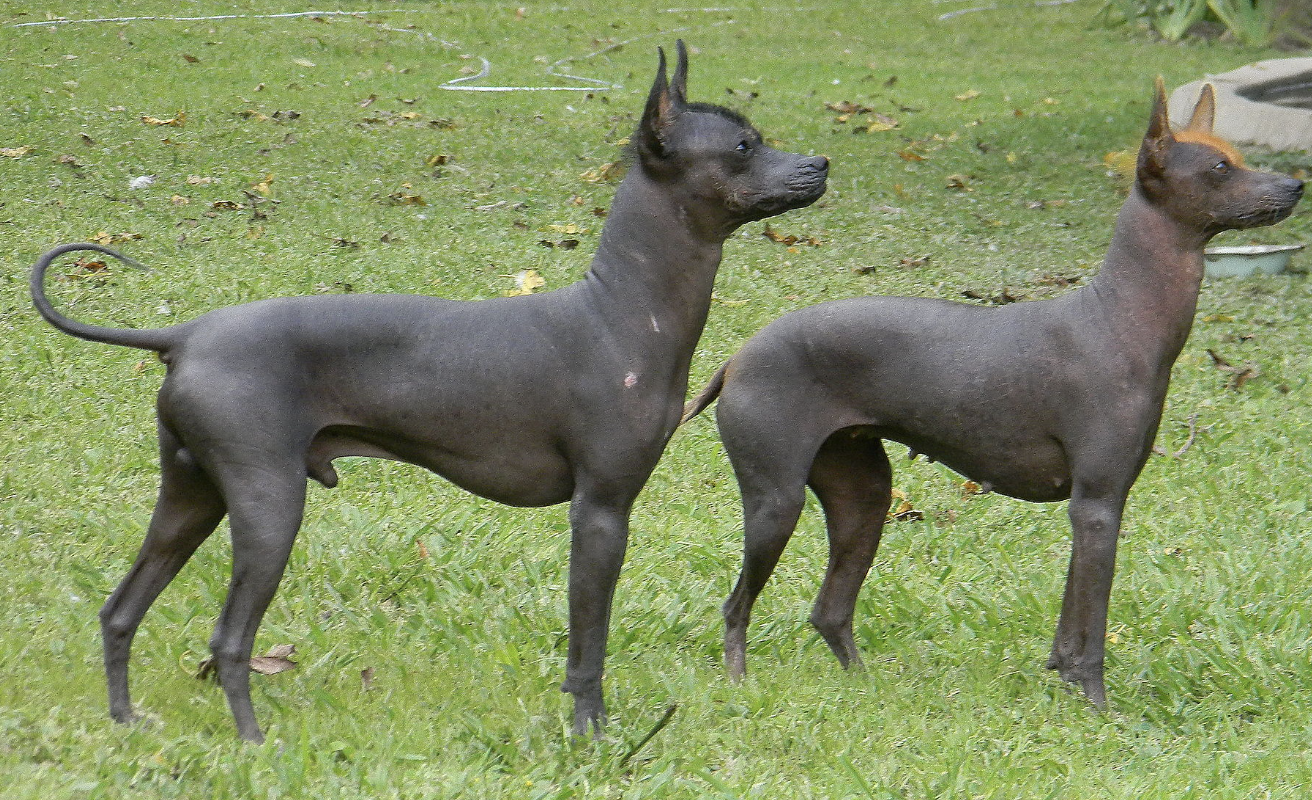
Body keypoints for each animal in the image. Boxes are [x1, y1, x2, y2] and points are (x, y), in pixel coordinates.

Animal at [33, 41, 829, 739]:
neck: (620, 310)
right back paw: (253, 742)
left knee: (119, 611)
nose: (820, 163)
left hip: (191, 497)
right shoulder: (601, 512)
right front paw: (591, 733)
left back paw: (126, 721)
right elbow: (589, 646)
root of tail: (186, 335)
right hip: (267, 502)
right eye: (742, 148)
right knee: (229, 639)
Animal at [687, 79, 1301, 702]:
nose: (1296, 186)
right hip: (776, 502)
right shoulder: (1098, 506)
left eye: (1237, 157)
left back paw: (866, 687)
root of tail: (737, 357)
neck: (1118, 314)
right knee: (737, 606)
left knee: (828, 612)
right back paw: (739, 684)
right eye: (1221, 168)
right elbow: (1092, 632)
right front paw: (1097, 705)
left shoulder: (1095, 509)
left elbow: (1069, 629)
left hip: (864, 498)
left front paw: (1064, 682)